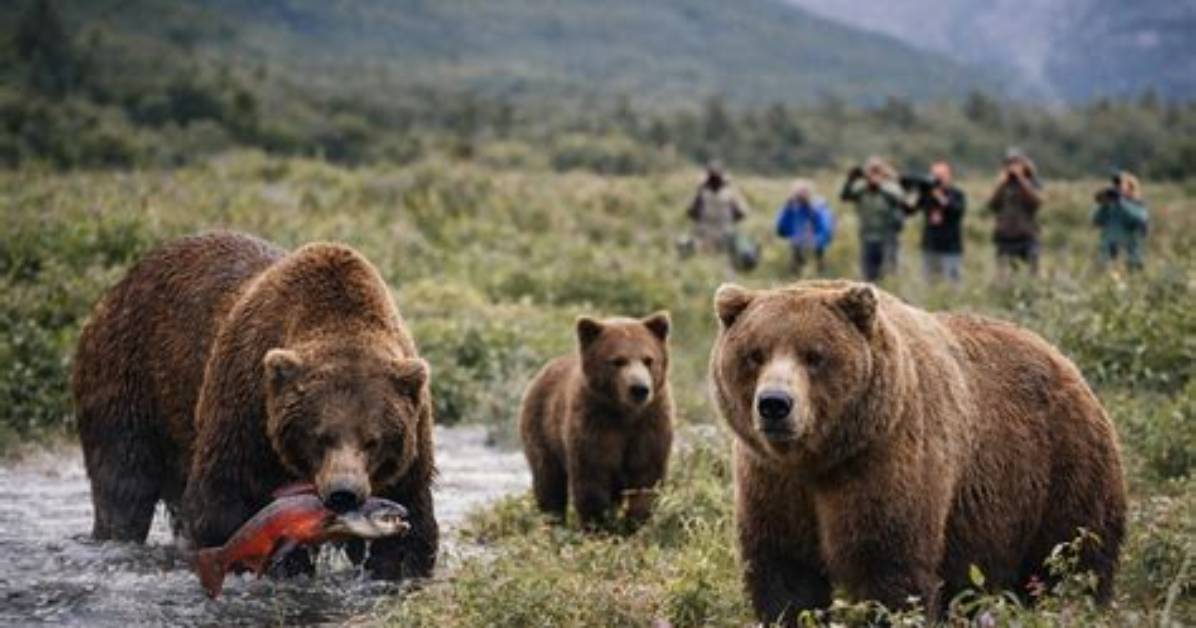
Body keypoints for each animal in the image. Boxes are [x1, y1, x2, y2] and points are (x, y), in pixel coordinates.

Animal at [73, 231, 437, 581]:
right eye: (320, 436)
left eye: (373, 440)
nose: (343, 492)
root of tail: (119, 285)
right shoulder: (247, 413)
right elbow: (223, 506)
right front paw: (281, 564)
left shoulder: (411, 447)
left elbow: (412, 528)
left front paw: (397, 567)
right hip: (129, 382)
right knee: (123, 485)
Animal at [519, 313, 673, 529]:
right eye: (618, 360)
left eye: (648, 359)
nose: (639, 388)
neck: (624, 413)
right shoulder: (593, 424)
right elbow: (592, 479)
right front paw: (599, 524)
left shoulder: (650, 423)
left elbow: (647, 477)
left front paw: (635, 521)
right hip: (541, 428)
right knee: (548, 481)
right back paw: (553, 522)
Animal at [708, 280, 1125, 623]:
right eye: (755, 354)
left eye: (814, 355)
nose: (775, 404)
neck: (820, 458)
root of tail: (1065, 360)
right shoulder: (771, 482)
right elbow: (786, 576)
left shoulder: (884, 462)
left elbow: (888, 569)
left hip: (1062, 471)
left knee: (1074, 562)